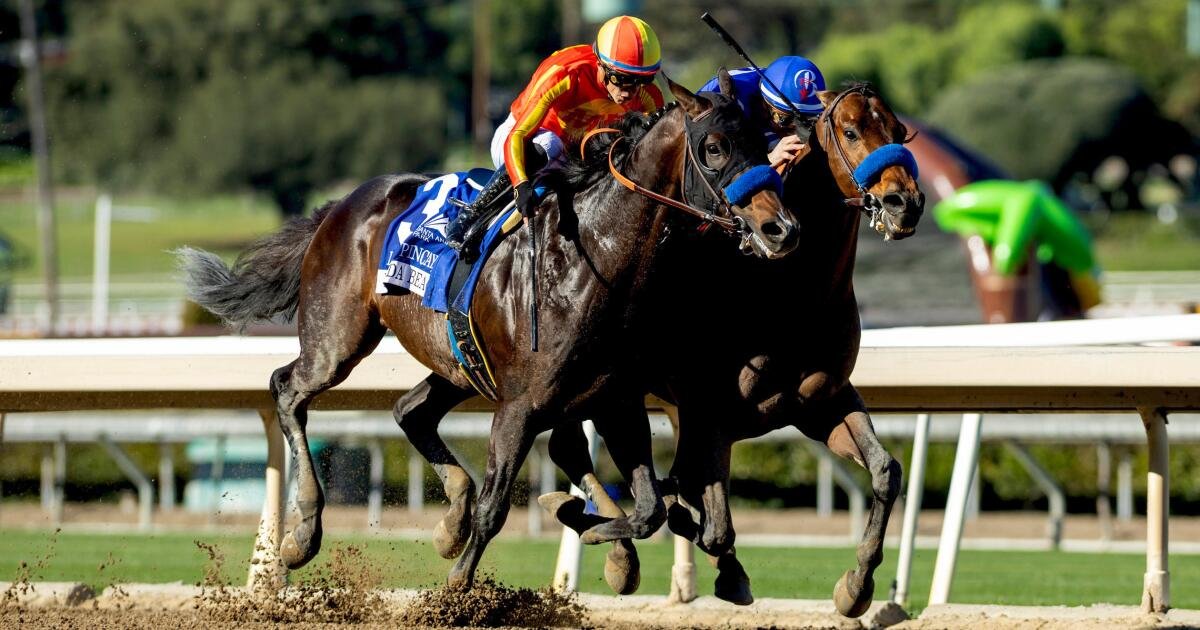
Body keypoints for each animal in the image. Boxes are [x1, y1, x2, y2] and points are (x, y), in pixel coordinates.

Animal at [176, 72, 799, 591]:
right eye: (715, 148)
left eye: (761, 141)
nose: (781, 228)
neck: (595, 259)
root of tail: (339, 205)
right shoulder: (520, 408)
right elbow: (499, 509)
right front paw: (458, 588)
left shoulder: (615, 401)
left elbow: (648, 510)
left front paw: (587, 525)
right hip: (339, 338)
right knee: (288, 388)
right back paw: (303, 533)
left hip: (458, 362)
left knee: (411, 410)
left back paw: (451, 518)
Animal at [545, 82, 924, 617]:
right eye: (851, 131)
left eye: (897, 130)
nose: (904, 202)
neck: (792, 291)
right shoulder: (712, 413)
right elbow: (706, 514)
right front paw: (722, 565)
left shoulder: (821, 401)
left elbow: (887, 471)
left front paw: (856, 587)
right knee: (570, 447)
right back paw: (609, 545)